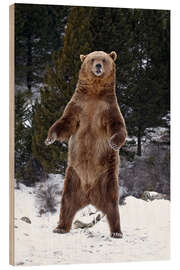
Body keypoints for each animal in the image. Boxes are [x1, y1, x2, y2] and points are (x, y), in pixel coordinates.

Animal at [44, 50, 126, 238]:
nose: (98, 66)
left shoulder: (108, 108)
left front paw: (114, 143)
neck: (94, 93)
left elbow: (117, 125)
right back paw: (60, 227)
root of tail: (89, 195)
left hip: (107, 178)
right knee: (66, 203)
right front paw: (50, 138)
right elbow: (66, 122)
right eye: (92, 59)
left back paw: (116, 231)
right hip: (73, 178)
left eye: (104, 59)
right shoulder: (78, 106)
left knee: (113, 206)